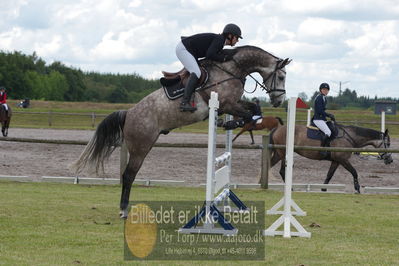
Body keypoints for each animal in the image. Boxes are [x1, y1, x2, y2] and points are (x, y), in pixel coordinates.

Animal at [72, 44, 290, 217]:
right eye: (280, 76)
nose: (279, 101)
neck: (231, 69)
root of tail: (129, 113)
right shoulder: (228, 104)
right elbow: (247, 114)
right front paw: (231, 123)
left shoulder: (233, 103)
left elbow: (252, 109)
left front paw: (233, 123)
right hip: (140, 148)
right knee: (128, 175)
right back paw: (124, 210)